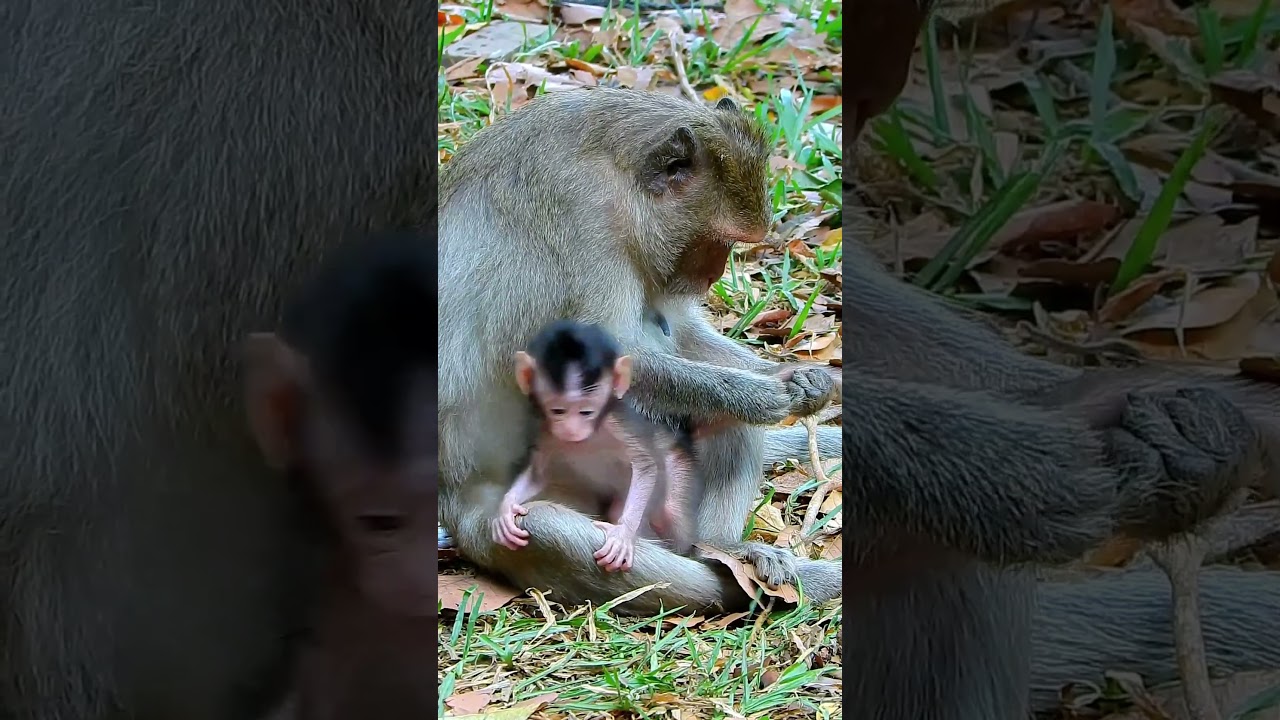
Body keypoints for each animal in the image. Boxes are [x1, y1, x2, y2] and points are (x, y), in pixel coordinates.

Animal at [493, 319, 701, 569]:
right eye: (558, 411)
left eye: (586, 412)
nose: (571, 429)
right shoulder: (546, 432)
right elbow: (538, 475)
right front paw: (505, 510)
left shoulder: (618, 425)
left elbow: (646, 466)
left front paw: (623, 534)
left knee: (670, 512)